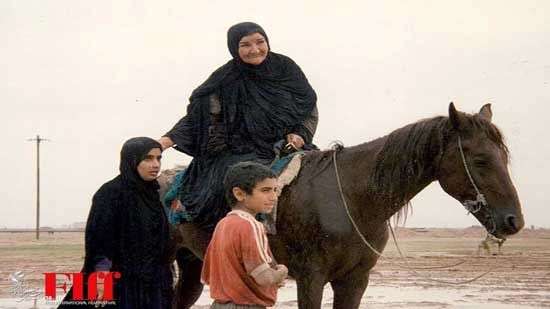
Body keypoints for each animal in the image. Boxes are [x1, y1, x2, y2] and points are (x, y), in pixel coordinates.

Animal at [164, 103, 528, 308]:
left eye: (504, 157)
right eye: (480, 160)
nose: (513, 221)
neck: (352, 200)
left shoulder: (355, 281)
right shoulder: (311, 277)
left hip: (193, 265)